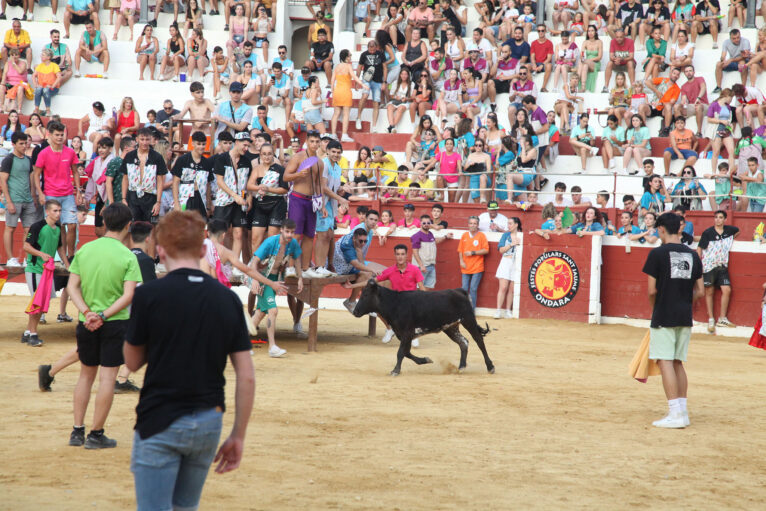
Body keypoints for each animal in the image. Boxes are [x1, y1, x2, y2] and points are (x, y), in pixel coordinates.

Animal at [352, 280, 496, 376]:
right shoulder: (403, 334)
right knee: (463, 342)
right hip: (451, 327)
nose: (355, 312)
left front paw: (395, 371)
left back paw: (490, 367)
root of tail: (459, 291)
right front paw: (426, 360)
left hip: (468, 320)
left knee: (479, 341)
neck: (395, 303)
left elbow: (401, 352)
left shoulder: (407, 333)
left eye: (365, 295)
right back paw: (461, 367)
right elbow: (406, 352)